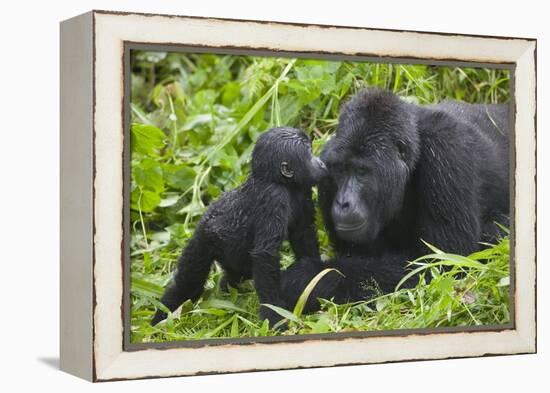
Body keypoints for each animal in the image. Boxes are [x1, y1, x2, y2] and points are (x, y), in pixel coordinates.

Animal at [152, 125, 328, 324]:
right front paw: (274, 313)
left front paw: (314, 275)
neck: (278, 180)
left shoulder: (302, 190)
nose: (321, 163)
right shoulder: (274, 197)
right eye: (309, 153)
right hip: (202, 240)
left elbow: (303, 234)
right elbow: (265, 255)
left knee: (235, 274)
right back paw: (161, 318)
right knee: (188, 284)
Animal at [284, 88, 512, 310]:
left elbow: (441, 264)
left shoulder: (447, 150)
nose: (343, 203)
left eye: (361, 172)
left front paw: (307, 277)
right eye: (340, 170)